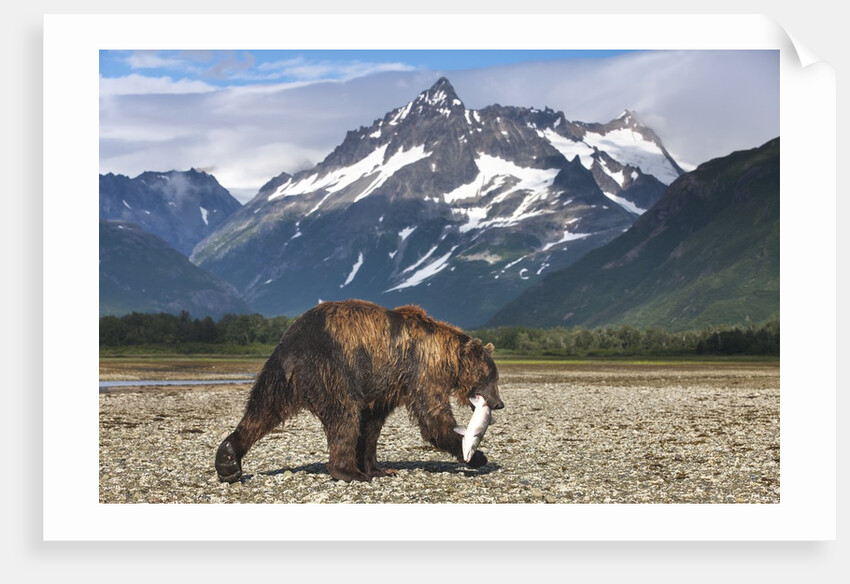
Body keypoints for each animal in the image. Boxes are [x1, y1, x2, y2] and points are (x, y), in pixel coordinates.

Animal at [215, 299, 504, 483]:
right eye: (490, 376)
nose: (498, 403)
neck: (448, 358)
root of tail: (292, 349)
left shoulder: (385, 384)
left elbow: (373, 425)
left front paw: (378, 466)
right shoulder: (421, 370)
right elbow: (434, 420)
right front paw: (476, 455)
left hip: (278, 375)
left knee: (261, 411)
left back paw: (228, 461)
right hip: (332, 370)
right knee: (344, 416)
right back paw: (349, 472)